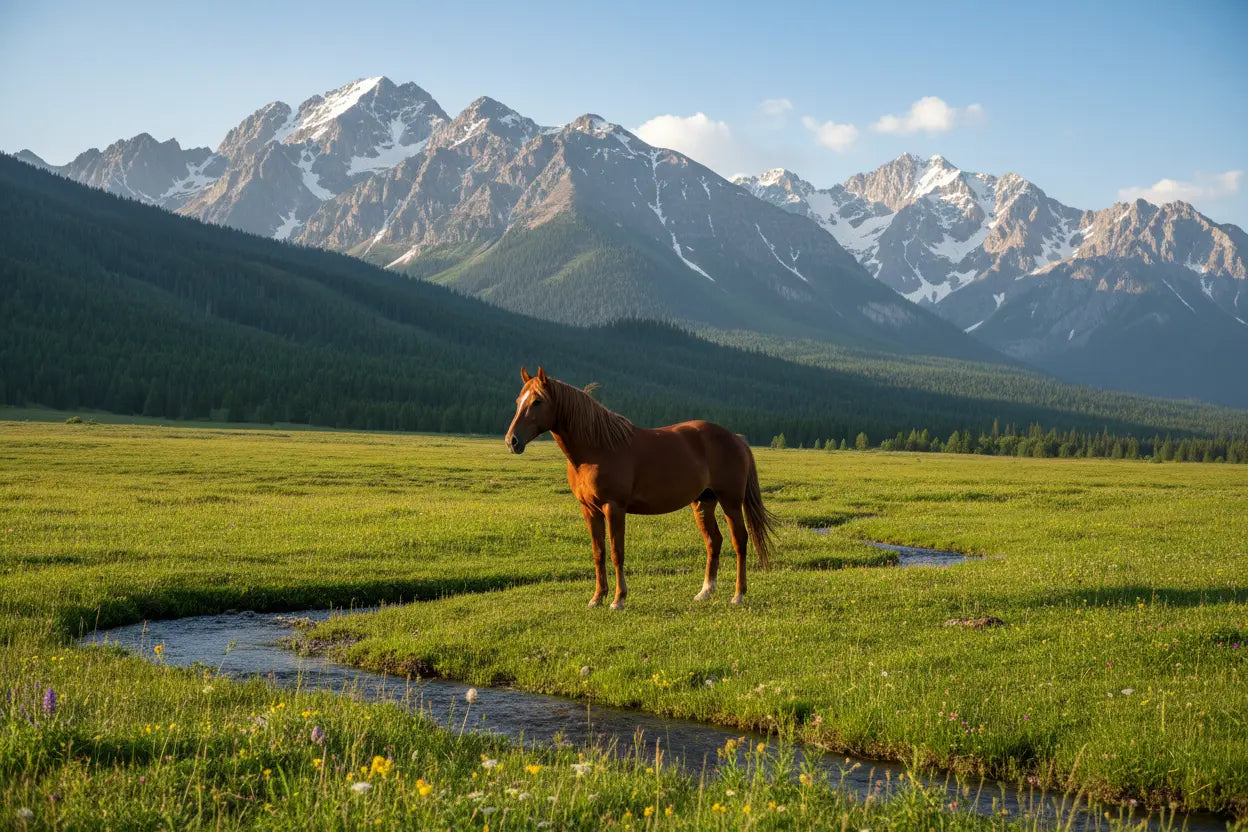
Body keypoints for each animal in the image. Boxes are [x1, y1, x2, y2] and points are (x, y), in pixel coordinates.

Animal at [504, 366, 777, 609]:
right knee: (713, 541)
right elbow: (598, 552)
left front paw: (618, 599)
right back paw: (705, 592)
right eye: (518, 401)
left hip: (731, 502)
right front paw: (597, 598)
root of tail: (736, 438)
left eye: (537, 401)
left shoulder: (613, 507)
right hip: (703, 502)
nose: (511, 441)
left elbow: (616, 552)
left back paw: (738, 594)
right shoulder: (589, 509)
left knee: (739, 541)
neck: (597, 448)